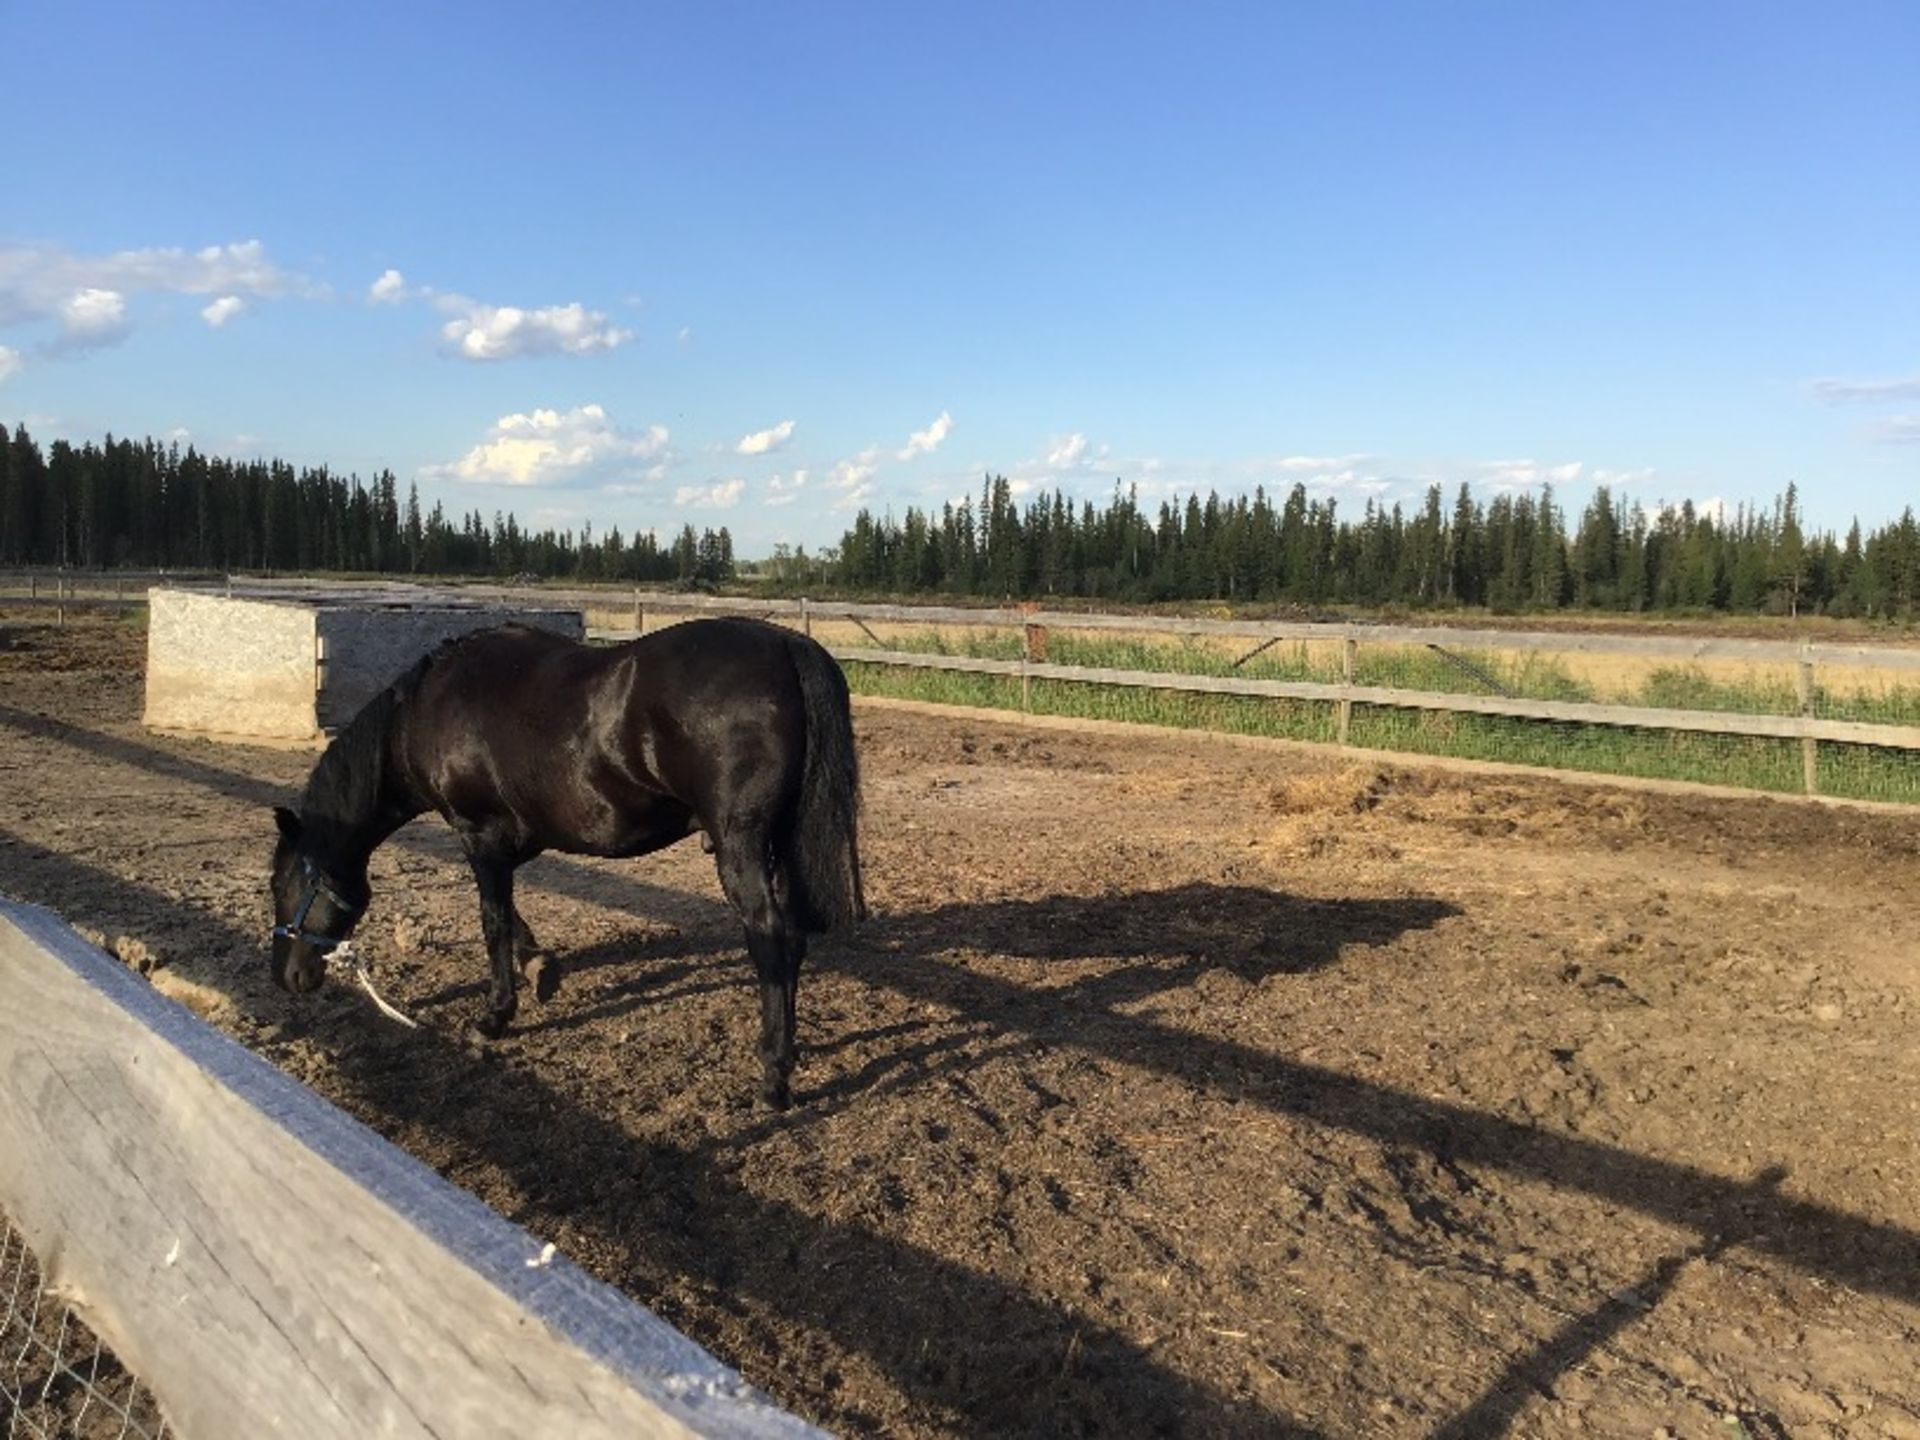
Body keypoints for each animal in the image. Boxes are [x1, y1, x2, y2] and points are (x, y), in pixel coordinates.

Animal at [266, 614, 867, 1113]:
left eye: (284, 884)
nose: (287, 977)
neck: (427, 709)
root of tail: (785, 644)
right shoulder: (506, 842)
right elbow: (511, 920)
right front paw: (540, 966)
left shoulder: (479, 837)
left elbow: (493, 922)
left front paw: (495, 1015)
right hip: (777, 846)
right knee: (792, 940)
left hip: (741, 846)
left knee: (770, 939)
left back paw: (773, 1075)